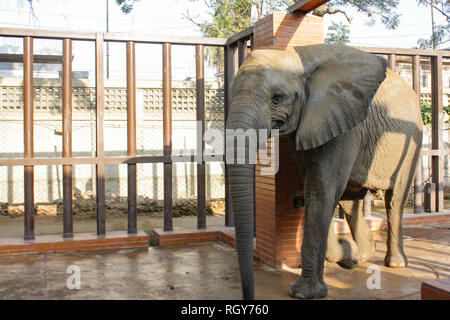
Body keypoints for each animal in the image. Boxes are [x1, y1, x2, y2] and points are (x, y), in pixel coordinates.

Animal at [227, 43, 424, 300]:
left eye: (277, 97)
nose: (249, 296)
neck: (298, 60)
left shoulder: (345, 122)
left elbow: (321, 189)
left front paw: (305, 294)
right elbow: (315, 188)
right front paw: (346, 255)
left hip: (412, 142)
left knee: (395, 199)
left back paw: (395, 263)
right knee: (350, 199)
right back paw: (361, 255)